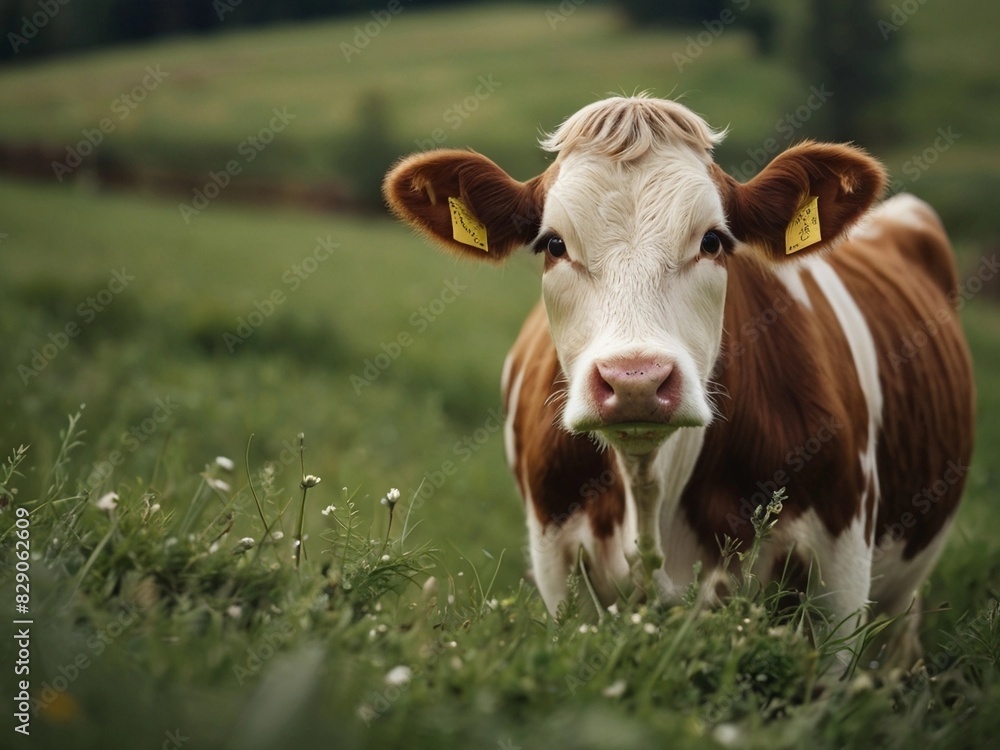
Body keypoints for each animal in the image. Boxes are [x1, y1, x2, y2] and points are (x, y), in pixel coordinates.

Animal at [384, 95, 976, 668]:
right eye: (553, 245)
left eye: (713, 241)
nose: (635, 380)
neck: (651, 492)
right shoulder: (558, 565)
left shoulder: (841, 570)